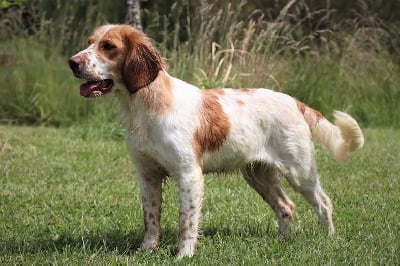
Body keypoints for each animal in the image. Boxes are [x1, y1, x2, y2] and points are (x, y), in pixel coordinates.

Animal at [69, 24, 366, 258]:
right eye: (89, 42)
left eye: (109, 46)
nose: (72, 62)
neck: (145, 105)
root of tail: (294, 101)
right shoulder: (148, 175)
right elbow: (151, 219)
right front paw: (147, 250)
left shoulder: (189, 174)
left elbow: (186, 221)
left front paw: (184, 255)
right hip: (259, 175)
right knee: (286, 207)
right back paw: (283, 242)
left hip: (300, 171)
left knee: (323, 203)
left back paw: (329, 239)